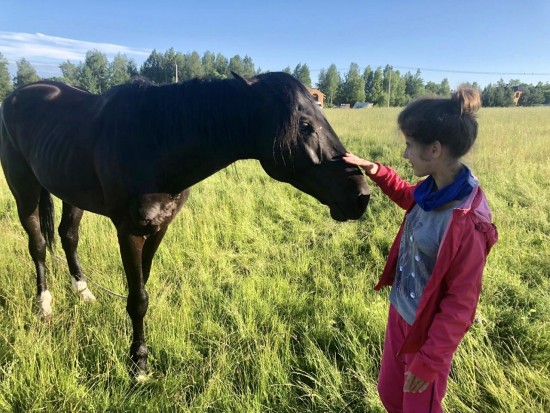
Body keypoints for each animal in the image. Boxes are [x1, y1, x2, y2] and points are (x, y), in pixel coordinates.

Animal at [1, 71, 370, 376]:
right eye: (305, 126)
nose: (361, 195)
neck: (154, 141)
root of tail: (19, 94)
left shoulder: (159, 228)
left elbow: (142, 287)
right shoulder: (129, 230)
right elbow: (138, 299)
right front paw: (139, 365)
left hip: (69, 190)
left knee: (68, 236)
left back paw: (83, 292)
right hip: (24, 188)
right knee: (37, 244)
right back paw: (44, 306)